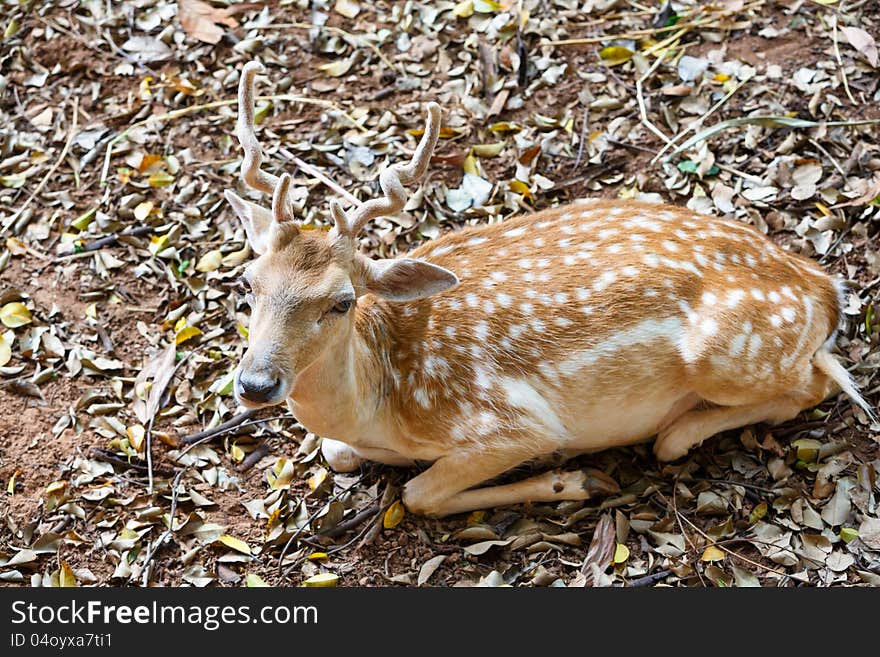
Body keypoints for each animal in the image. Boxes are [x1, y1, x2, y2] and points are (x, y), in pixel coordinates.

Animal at [225, 64, 872, 520]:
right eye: (248, 284)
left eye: (342, 301)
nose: (256, 383)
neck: (380, 410)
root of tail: (823, 288)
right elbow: (338, 455)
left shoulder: (509, 423)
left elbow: (418, 493)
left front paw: (574, 479)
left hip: (729, 353)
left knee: (812, 386)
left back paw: (676, 430)